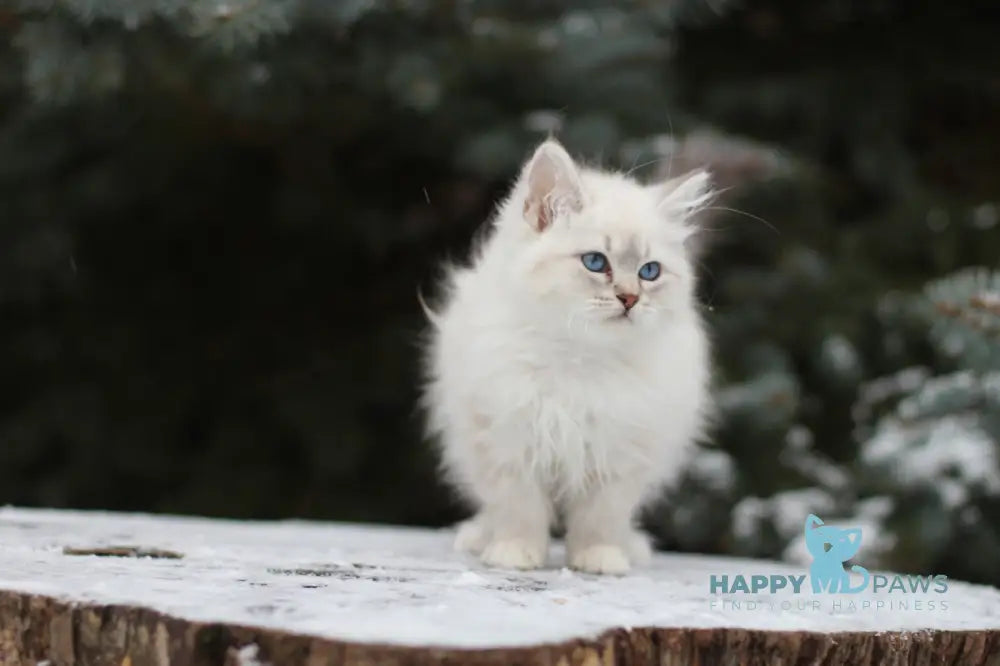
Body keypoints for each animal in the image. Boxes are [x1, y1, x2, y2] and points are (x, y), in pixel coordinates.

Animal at [418, 137, 716, 572]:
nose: (630, 299)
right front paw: (515, 554)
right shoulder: (507, 437)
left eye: (650, 272)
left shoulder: (621, 451)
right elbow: (518, 507)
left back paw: (630, 547)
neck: (580, 358)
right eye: (595, 262)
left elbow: (600, 517)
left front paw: (599, 559)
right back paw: (480, 537)